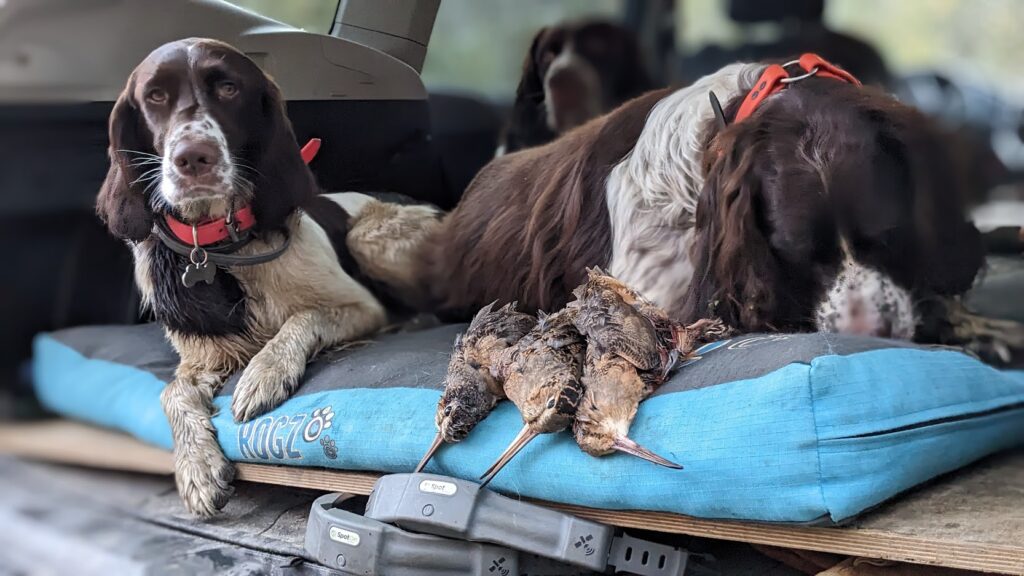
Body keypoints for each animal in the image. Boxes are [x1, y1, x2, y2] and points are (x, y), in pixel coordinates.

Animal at [96, 39, 444, 516]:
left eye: (228, 88)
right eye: (155, 96)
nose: (193, 158)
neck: (221, 246)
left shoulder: (360, 306)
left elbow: (302, 318)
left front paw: (264, 373)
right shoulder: (203, 358)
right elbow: (172, 391)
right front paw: (197, 466)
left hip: (369, 236)